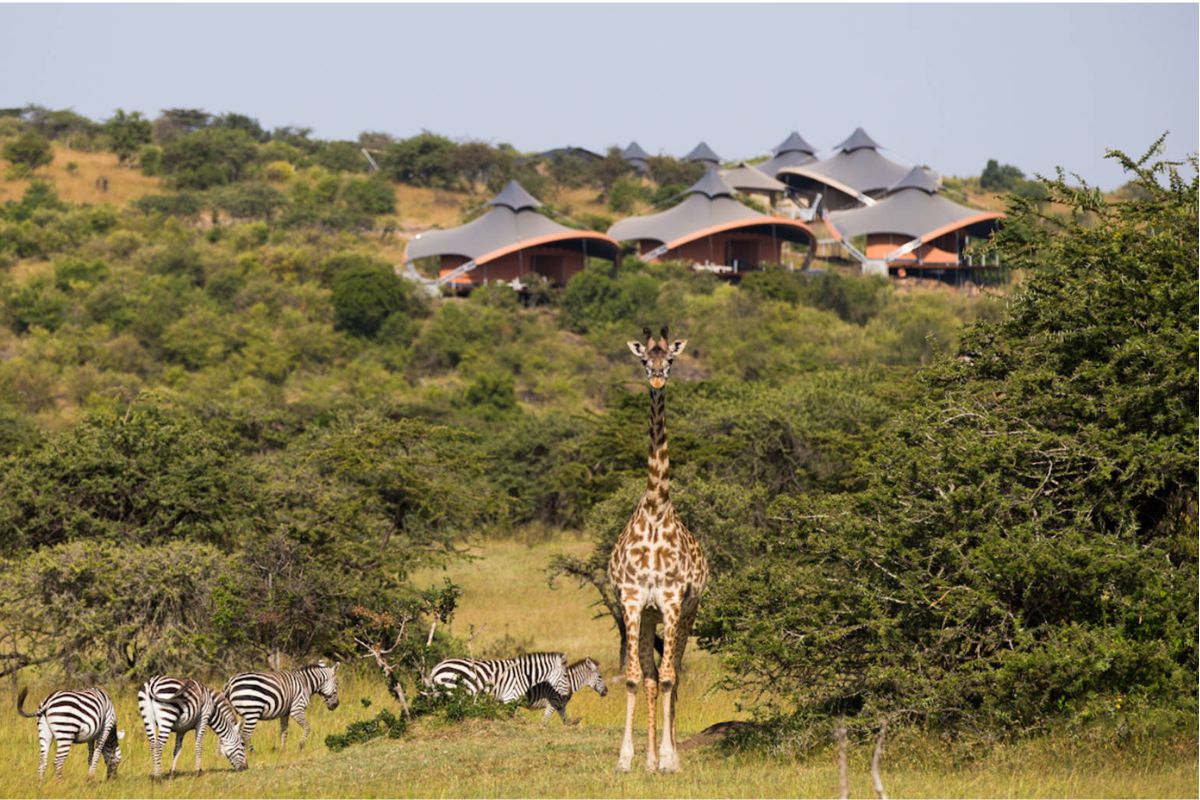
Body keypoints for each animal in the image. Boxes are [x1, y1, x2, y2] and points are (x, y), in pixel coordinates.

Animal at [427, 652, 571, 704]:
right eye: (565, 675)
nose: (569, 696)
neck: (524, 674)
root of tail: (436, 668)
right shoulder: (511, 697)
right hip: (451, 690)